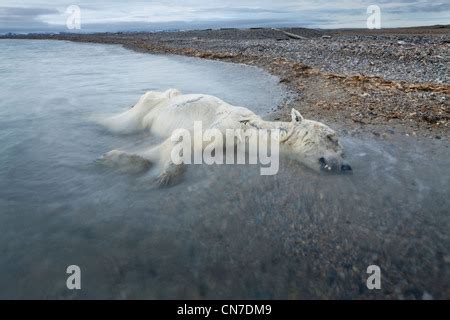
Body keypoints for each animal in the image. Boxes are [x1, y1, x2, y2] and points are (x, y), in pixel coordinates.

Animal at [102, 89, 352, 185]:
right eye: (331, 138)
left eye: (342, 151)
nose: (344, 166)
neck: (250, 129)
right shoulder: (225, 127)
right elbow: (180, 141)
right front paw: (119, 159)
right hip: (150, 104)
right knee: (124, 122)